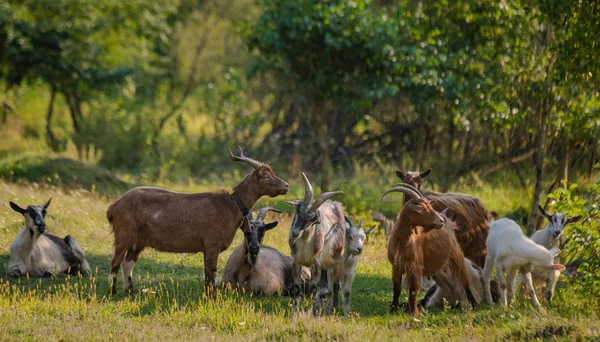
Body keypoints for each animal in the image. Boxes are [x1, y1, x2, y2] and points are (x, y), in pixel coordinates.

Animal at [106, 147, 290, 294]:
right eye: (266, 176)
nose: (287, 186)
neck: (230, 206)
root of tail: (115, 206)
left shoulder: (206, 248)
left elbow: (206, 273)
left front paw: (207, 294)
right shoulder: (212, 245)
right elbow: (212, 272)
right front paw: (213, 296)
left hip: (138, 242)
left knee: (128, 263)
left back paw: (130, 291)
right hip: (123, 235)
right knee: (115, 262)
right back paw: (113, 292)